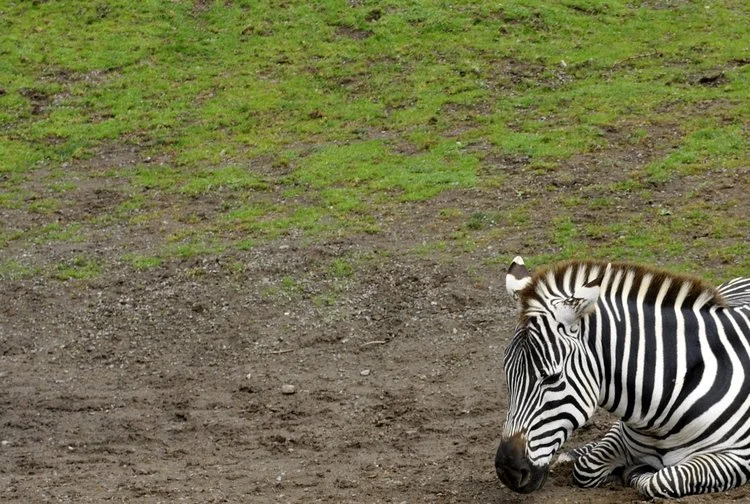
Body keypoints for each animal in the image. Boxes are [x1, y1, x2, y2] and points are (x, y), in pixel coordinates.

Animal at [495, 256, 750, 498]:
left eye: (552, 378)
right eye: (507, 374)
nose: (508, 472)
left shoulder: (737, 457)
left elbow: (662, 480)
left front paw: (636, 473)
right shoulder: (622, 434)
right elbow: (586, 467)